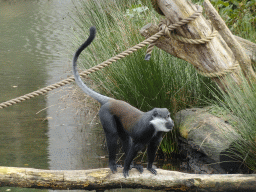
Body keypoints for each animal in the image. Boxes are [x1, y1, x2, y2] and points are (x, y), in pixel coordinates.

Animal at [73, 26, 175, 178]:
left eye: (168, 115)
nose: (171, 123)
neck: (154, 125)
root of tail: (111, 101)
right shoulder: (145, 130)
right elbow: (136, 146)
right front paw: (126, 167)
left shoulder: (158, 134)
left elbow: (152, 147)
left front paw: (149, 166)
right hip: (105, 115)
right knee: (112, 136)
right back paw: (113, 163)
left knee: (125, 138)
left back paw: (133, 165)